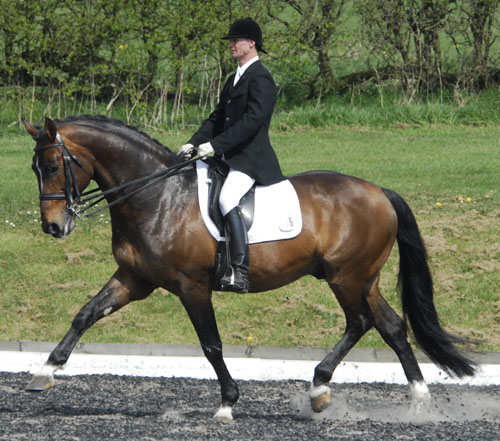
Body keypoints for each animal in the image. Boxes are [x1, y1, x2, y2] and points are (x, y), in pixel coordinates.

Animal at [24, 116, 476, 420]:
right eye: (34, 168)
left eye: (53, 166)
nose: (53, 227)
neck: (158, 195)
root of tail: (379, 191)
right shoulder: (134, 279)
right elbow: (85, 314)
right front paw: (44, 372)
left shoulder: (191, 286)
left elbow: (211, 345)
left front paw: (227, 404)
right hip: (365, 278)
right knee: (392, 326)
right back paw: (418, 400)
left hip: (345, 277)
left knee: (360, 322)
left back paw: (319, 387)